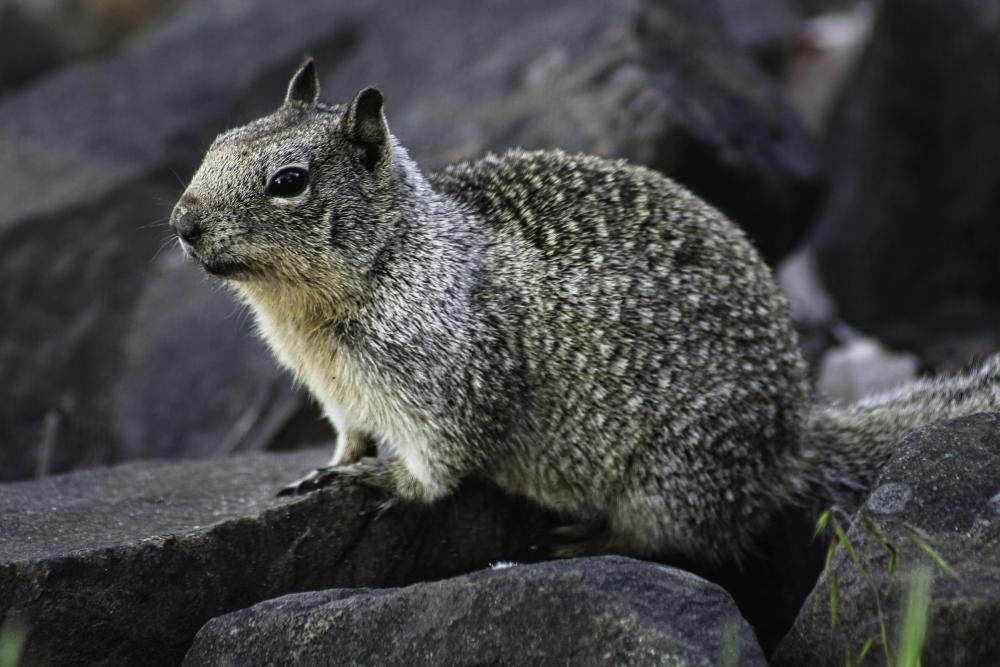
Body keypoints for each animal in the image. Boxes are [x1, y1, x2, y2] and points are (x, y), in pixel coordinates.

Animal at [170, 59, 1000, 563]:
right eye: (216, 143)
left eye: (288, 180)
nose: (182, 222)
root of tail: (793, 435)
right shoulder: (338, 391)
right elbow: (347, 435)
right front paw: (332, 466)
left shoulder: (445, 378)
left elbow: (439, 467)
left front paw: (380, 480)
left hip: (673, 473)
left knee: (667, 540)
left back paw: (584, 537)